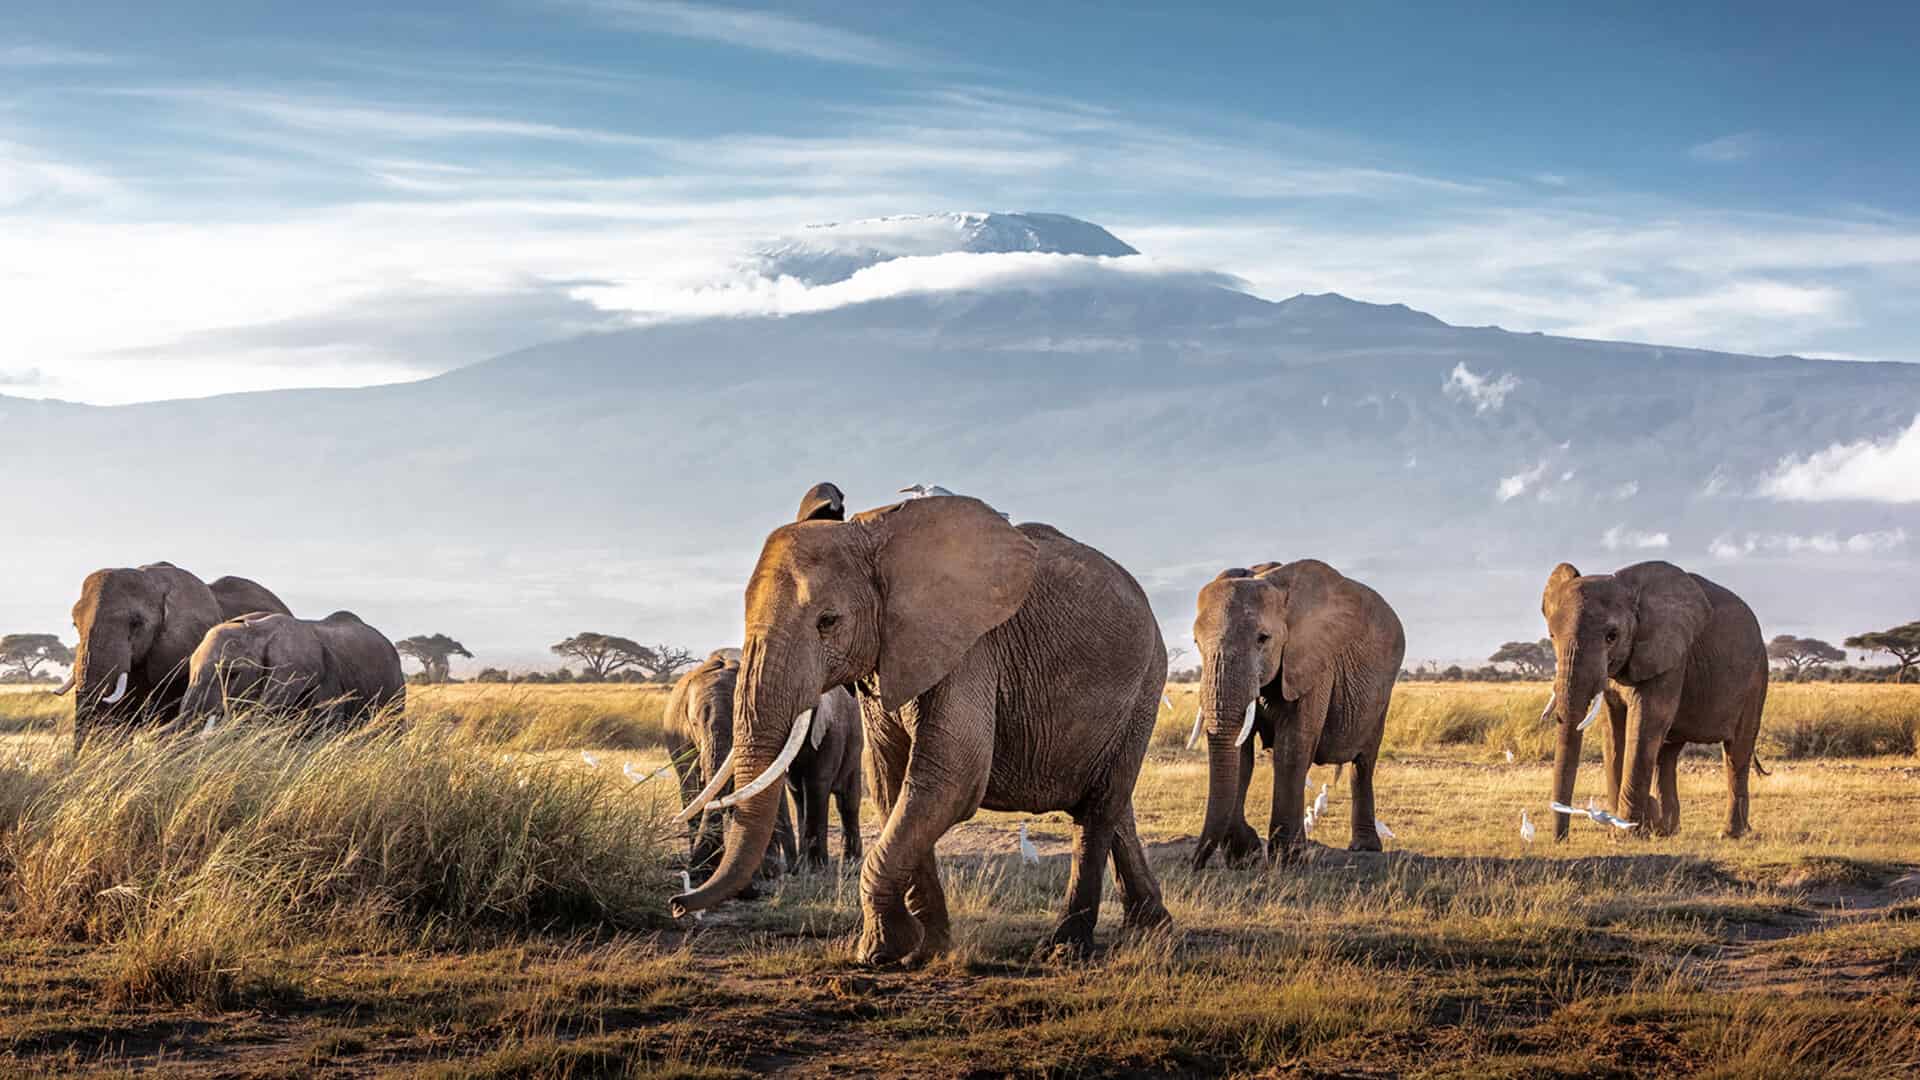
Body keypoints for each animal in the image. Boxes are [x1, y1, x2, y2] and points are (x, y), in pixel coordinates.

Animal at [1189, 561, 1406, 868]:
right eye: (1196, 642)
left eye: (1263, 639)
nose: (1194, 863)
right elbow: (1241, 755)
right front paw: (1246, 856)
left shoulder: (1314, 663)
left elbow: (1292, 747)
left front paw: (1289, 859)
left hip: (1382, 692)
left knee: (1363, 763)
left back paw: (1364, 848)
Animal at [1541, 561, 1769, 840]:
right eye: (1552, 636)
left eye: (1612, 636)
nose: (1560, 839)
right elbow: (1613, 731)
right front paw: (1622, 830)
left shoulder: (1670, 657)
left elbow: (1646, 723)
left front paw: (1626, 835)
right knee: (1666, 755)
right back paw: (1666, 831)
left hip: (1755, 679)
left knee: (1737, 753)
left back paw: (1729, 834)